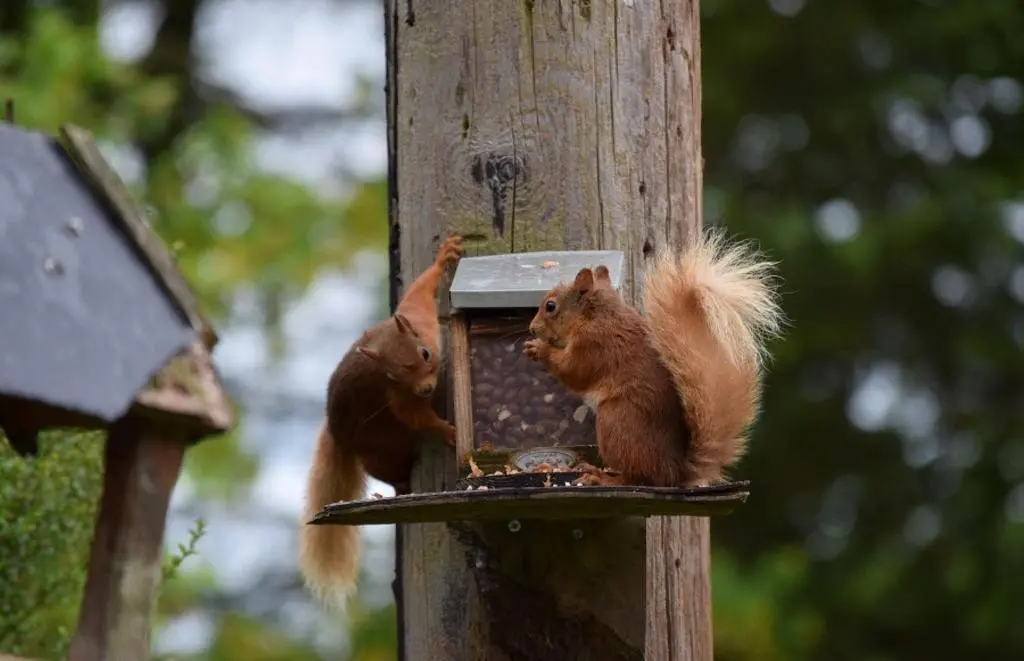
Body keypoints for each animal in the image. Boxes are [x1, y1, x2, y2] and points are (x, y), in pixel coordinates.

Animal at [298, 234, 462, 611]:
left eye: (425, 354)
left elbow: (419, 289)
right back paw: (402, 484)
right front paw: (447, 430)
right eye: (392, 376)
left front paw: (445, 255)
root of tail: (336, 432)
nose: (426, 389)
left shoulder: (418, 316)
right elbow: (415, 415)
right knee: (388, 469)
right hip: (381, 450)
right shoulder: (397, 397)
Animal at [523, 228, 783, 488]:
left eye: (550, 306)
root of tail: (674, 473)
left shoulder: (593, 344)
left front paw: (539, 348)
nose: (532, 328)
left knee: (635, 476)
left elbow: (574, 371)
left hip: (616, 422)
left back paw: (602, 478)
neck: (597, 315)